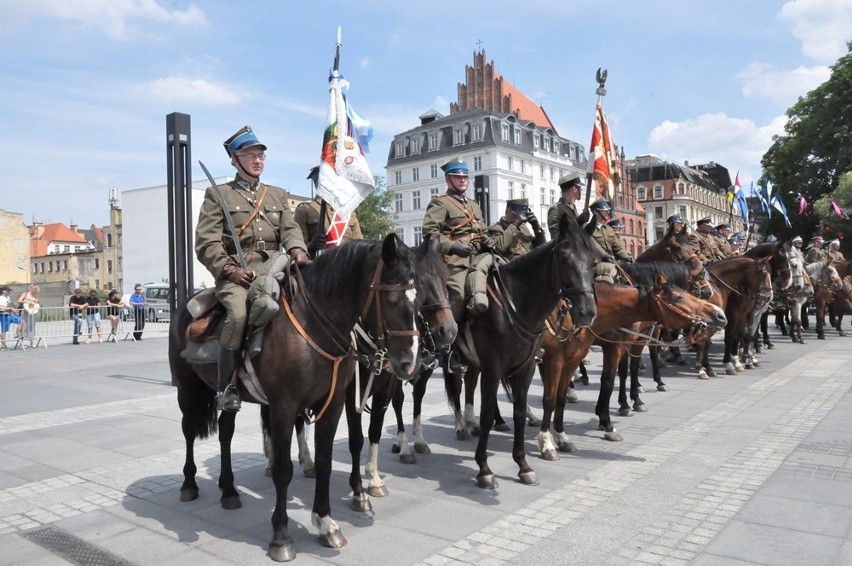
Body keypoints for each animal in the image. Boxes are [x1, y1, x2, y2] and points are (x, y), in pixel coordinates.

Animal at [172, 235, 422, 564]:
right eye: (392, 299)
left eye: (419, 299)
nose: (409, 363)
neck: (314, 325)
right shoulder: (284, 408)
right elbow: (282, 470)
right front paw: (281, 537)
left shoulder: (332, 406)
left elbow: (326, 462)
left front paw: (326, 524)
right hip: (186, 388)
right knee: (188, 431)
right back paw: (189, 484)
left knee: (225, 432)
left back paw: (229, 491)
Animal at [442, 217, 596, 492]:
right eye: (564, 256)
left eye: (592, 260)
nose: (587, 312)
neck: (515, 304)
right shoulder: (495, 369)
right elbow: (489, 413)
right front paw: (484, 470)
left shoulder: (526, 368)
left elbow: (520, 412)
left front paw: (524, 465)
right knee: (452, 388)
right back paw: (451, 428)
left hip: (476, 363)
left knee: (468, 383)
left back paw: (469, 422)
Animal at [536, 264, 724, 460]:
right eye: (678, 297)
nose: (720, 314)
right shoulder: (616, 345)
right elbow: (609, 381)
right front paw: (608, 421)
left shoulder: (635, 340)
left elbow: (628, 371)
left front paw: (631, 402)